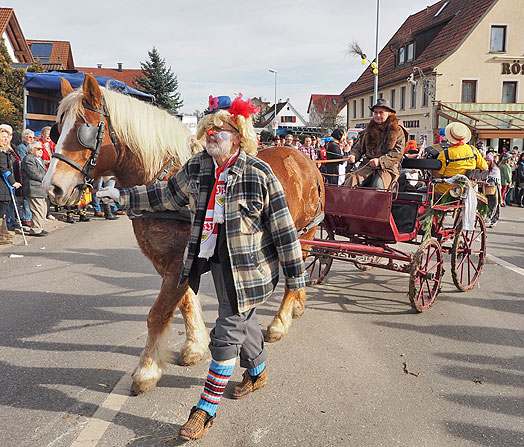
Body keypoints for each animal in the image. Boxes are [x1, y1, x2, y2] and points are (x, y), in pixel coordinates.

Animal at [44, 74, 324, 396]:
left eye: (84, 130)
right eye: (57, 129)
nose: (52, 188)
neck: (162, 176)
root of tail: (304, 159)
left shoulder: (178, 261)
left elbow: (159, 313)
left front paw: (147, 370)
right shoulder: (172, 260)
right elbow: (185, 302)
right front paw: (194, 347)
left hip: (304, 231)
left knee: (293, 274)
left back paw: (280, 322)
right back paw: (299, 305)